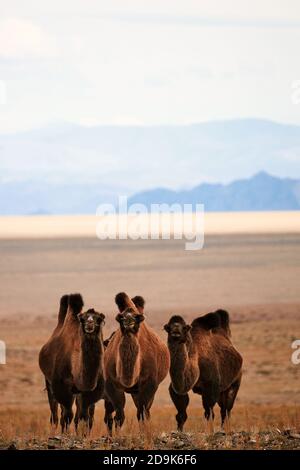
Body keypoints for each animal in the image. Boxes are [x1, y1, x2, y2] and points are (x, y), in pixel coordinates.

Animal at [39, 296, 105, 432]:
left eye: (99, 318)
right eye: (83, 318)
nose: (89, 324)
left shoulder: (88, 391)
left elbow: (84, 416)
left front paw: (82, 434)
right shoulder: (62, 386)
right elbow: (67, 415)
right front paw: (65, 434)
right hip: (49, 382)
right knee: (55, 413)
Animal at [103, 294, 170, 434]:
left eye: (138, 319)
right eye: (120, 318)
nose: (129, 322)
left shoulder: (149, 384)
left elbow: (142, 414)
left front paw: (144, 434)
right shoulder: (111, 384)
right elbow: (119, 416)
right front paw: (116, 435)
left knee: (146, 411)